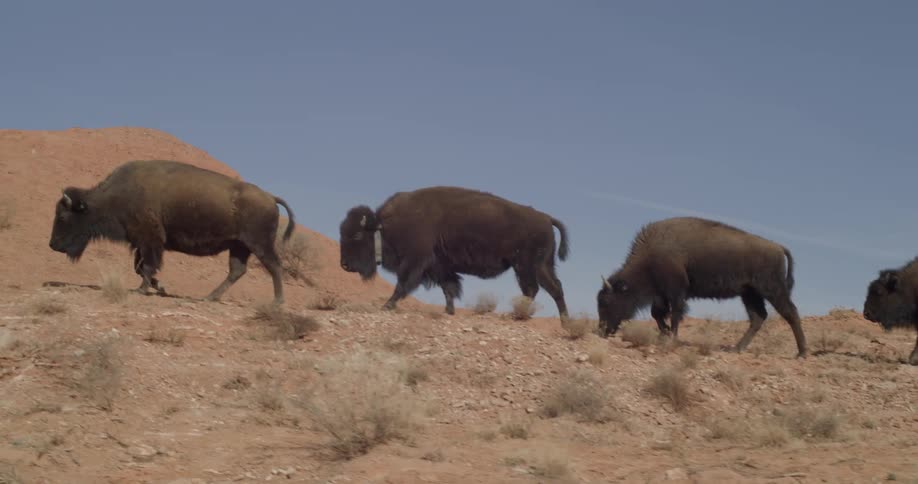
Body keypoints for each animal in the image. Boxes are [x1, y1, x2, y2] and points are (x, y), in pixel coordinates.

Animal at [48, 160, 295, 305]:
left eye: (63, 217)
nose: (53, 244)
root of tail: (270, 197)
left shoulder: (150, 241)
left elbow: (146, 266)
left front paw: (143, 290)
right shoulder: (142, 244)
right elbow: (139, 267)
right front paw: (160, 287)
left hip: (258, 244)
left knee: (274, 266)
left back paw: (277, 302)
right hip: (239, 247)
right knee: (237, 270)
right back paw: (209, 297)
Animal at [338, 186, 570, 319]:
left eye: (357, 236)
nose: (344, 265)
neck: (383, 226)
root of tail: (545, 218)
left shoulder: (415, 262)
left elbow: (402, 285)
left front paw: (387, 305)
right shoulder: (440, 266)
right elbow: (448, 288)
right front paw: (449, 311)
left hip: (527, 266)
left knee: (534, 289)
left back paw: (520, 315)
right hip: (541, 265)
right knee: (553, 288)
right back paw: (563, 321)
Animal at [597, 216, 808, 358]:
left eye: (606, 302)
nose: (602, 331)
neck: (652, 253)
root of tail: (778, 247)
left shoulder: (676, 292)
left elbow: (674, 314)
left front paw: (671, 337)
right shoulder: (662, 294)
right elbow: (657, 314)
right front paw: (665, 333)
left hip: (771, 289)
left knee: (790, 312)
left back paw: (802, 353)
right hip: (749, 293)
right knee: (758, 317)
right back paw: (736, 348)